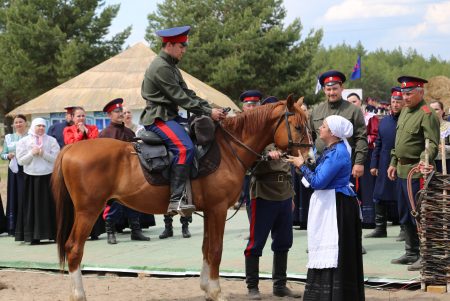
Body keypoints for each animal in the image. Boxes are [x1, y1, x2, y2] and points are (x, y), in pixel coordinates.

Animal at [52, 94, 312, 300]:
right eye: (299, 127)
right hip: (88, 211)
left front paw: (207, 287)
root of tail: (72, 148)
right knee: (74, 248)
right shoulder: (218, 209)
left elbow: (206, 248)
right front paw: (216, 292)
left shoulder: (209, 210)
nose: (309, 160)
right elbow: (215, 249)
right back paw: (78, 295)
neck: (227, 148)